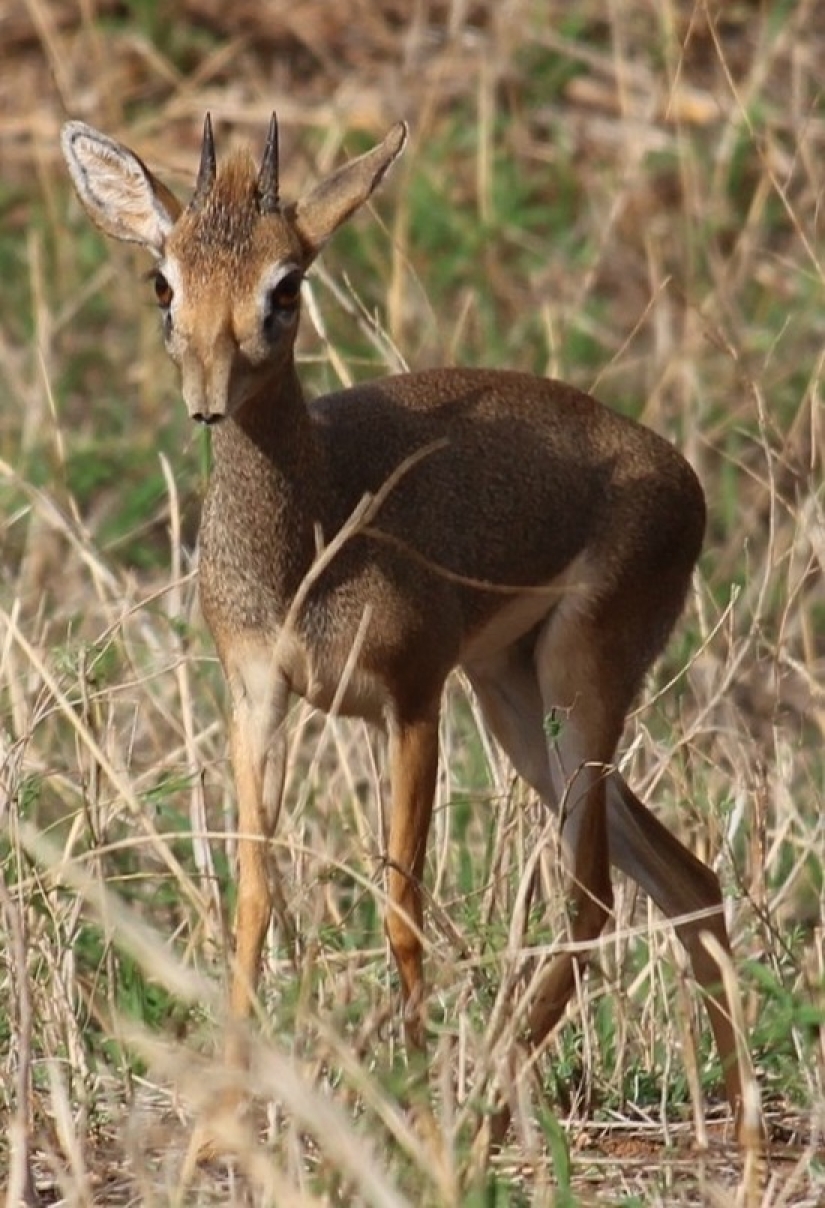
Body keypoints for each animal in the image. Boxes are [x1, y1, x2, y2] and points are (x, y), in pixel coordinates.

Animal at [61, 113, 746, 1146]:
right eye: (163, 280)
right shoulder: (256, 700)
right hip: (513, 701)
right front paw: (225, 1112)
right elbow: (253, 900)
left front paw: (413, 1102)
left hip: (579, 681)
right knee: (686, 881)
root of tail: (680, 474)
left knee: (590, 894)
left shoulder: (413, 703)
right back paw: (738, 1131)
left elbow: (401, 906)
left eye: (286, 283)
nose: (209, 397)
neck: (311, 533)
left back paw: (482, 1112)